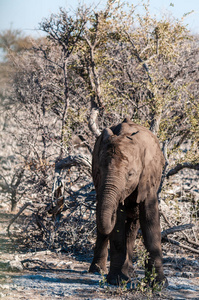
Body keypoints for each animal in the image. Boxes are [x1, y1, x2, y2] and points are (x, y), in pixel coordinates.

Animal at [89, 116, 167, 286]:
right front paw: (116, 280)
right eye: (98, 171)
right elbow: (118, 223)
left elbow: (150, 218)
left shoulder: (148, 177)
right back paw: (98, 270)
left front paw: (159, 283)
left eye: (130, 174)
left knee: (132, 227)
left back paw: (129, 273)